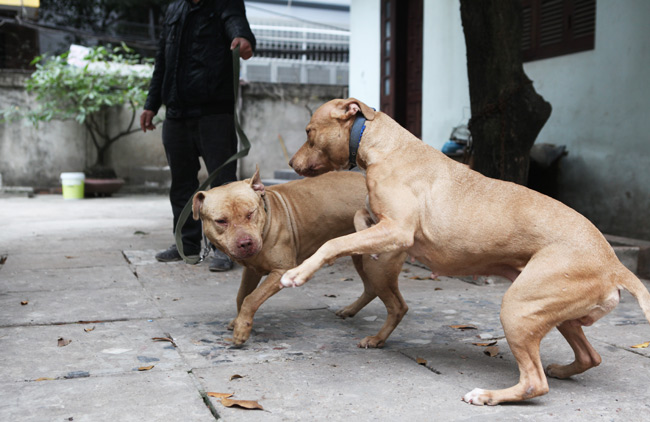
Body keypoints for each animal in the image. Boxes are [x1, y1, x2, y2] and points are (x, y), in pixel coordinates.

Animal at [191, 167, 404, 346]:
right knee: (371, 289)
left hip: (378, 268)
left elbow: (251, 298)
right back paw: (350, 310)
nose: (245, 243)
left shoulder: (281, 271)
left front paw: (242, 329)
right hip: (362, 259)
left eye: (251, 213)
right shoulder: (252, 271)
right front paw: (239, 321)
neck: (267, 216)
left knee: (398, 307)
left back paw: (377, 339)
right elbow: (241, 296)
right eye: (221, 221)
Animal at [280, 98, 648, 406]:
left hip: (519, 307)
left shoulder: (397, 230)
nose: (290, 162)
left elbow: (334, 243)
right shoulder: (385, 225)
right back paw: (560, 370)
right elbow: (357, 219)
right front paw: (365, 249)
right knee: (589, 357)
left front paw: (297, 273)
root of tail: (615, 263)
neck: (381, 142)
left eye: (309, 132)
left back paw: (488, 396)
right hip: (555, 311)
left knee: (535, 383)